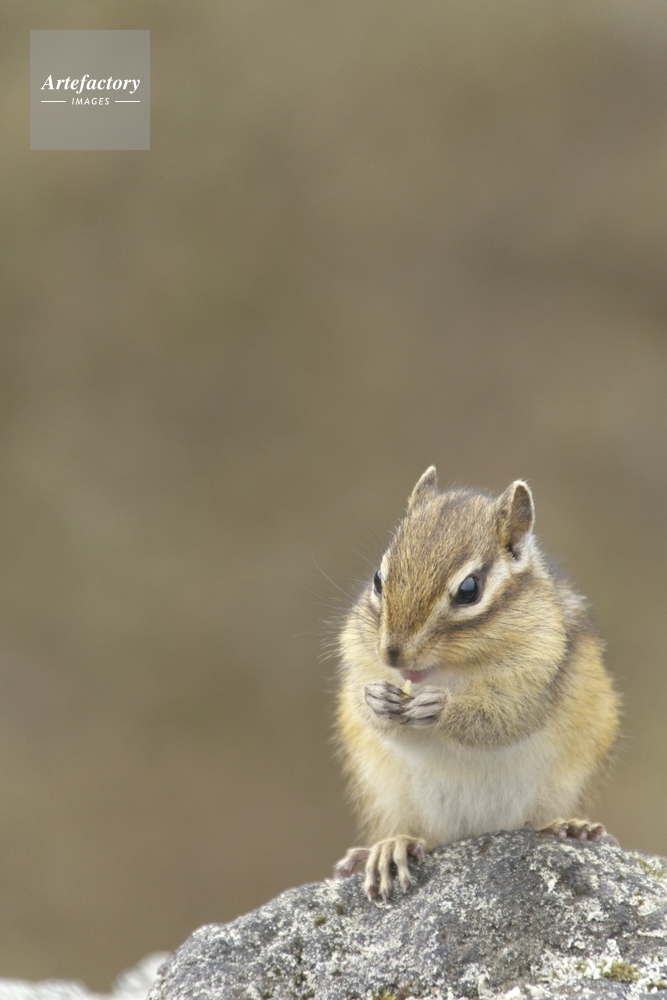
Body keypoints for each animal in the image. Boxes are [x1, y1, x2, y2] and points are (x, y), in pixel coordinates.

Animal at [333, 467, 620, 900]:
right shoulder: (361, 656)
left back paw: (568, 826)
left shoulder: (535, 676)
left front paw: (439, 708)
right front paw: (376, 699)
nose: (393, 656)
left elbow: (501, 719)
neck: (448, 671)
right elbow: (375, 713)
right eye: (378, 580)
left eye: (469, 589)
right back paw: (391, 846)